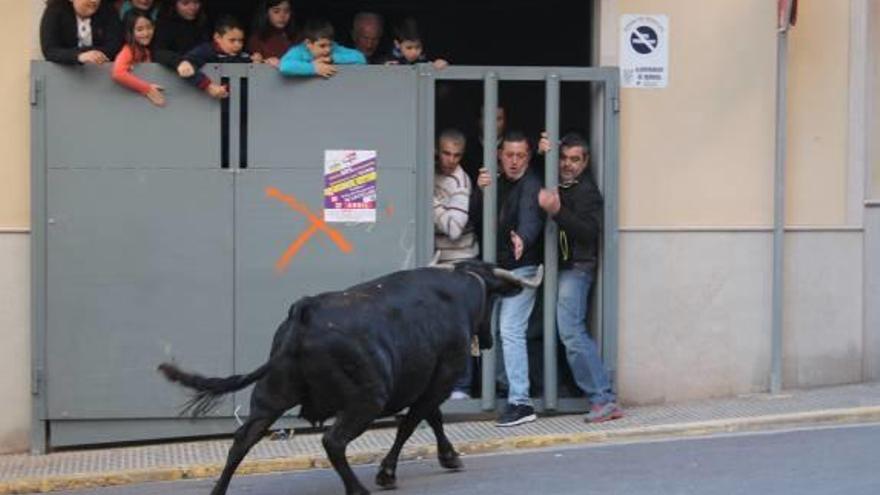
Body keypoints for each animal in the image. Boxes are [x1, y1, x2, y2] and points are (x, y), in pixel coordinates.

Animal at [159, 262, 544, 494]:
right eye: (492, 301)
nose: (489, 340)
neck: (462, 289)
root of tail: (304, 311)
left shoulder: (426, 382)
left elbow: (429, 418)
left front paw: (449, 457)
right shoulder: (441, 379)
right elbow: (413, 422)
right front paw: (387, 473)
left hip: (271, 396)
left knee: (242, 440)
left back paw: (218, 490)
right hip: (366, 399)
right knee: (333, 441)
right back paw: (357, 488)